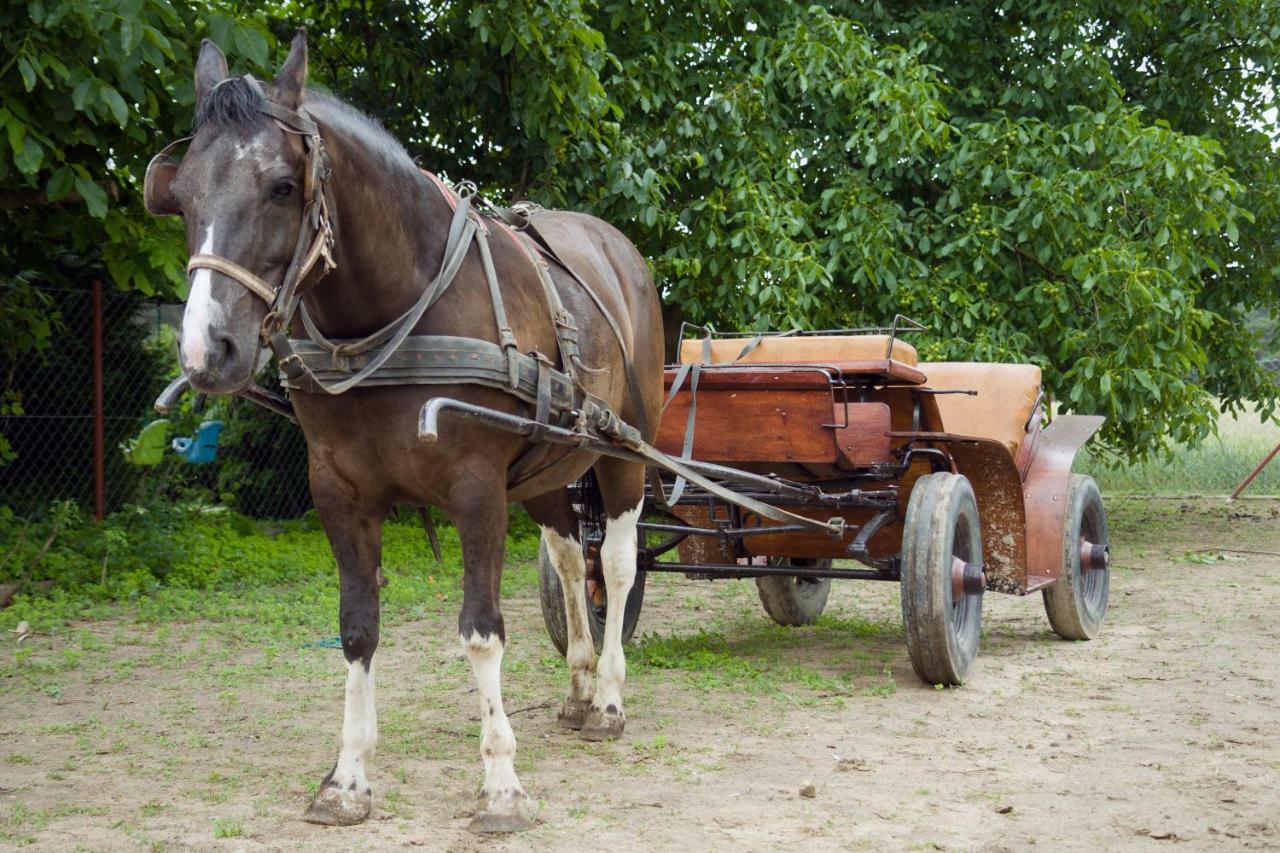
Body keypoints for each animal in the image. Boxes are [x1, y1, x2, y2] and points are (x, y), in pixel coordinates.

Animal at [145, 31, 665, 829]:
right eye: (179, 197)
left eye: (282, 187)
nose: (208, 351)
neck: (398, 309)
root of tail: (618, 248)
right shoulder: (339, 489)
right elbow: (358, 626)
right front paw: (347, 777)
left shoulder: (477, 488)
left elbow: (481, 629)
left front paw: (501, 782)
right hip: (547, 465)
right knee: (569, 557)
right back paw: (578, 686)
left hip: (622, 449)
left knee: (615, 563)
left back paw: (607, 695)